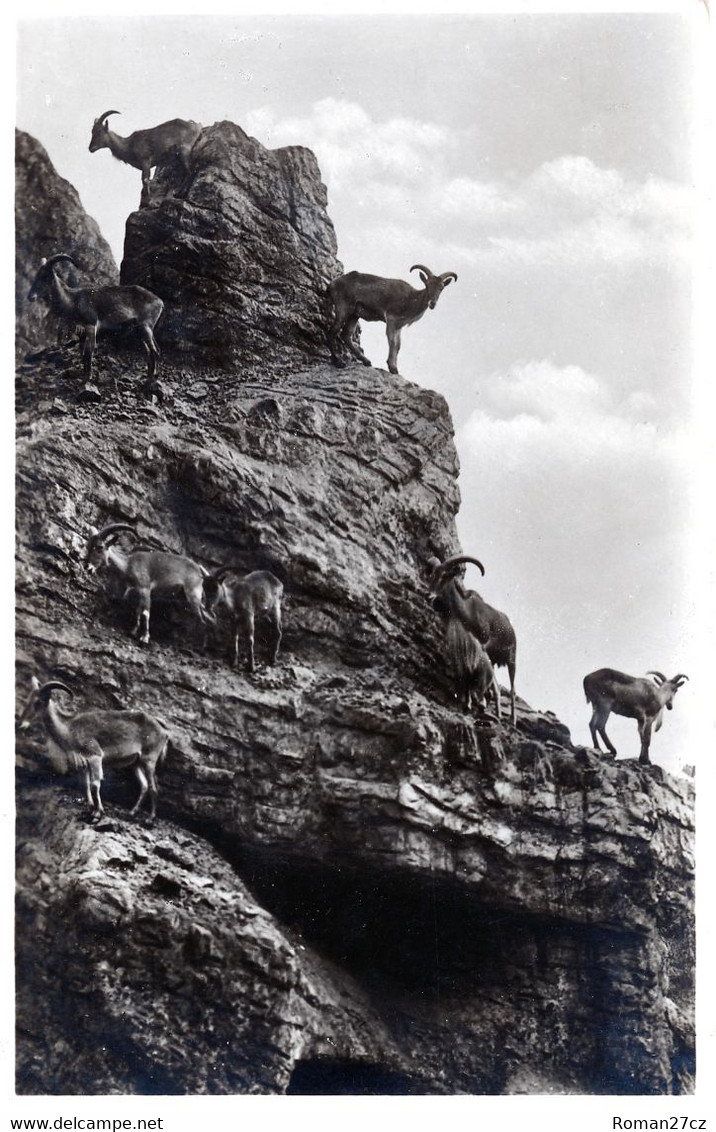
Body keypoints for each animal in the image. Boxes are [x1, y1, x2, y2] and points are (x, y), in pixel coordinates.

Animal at [325, 264, 454, 375]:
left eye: (441, 288)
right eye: (427, 285)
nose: (432, 303)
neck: (411, 298)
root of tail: (332, 284)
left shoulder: (399, 326)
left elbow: (398, 345)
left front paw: (394, 367)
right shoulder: (391, 319)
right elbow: (393, 342)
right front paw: (392, 368)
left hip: (354, 314)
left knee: (346, 335)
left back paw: (366, 361)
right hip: (343, 308)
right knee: (332, 331)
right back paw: (338, 362)